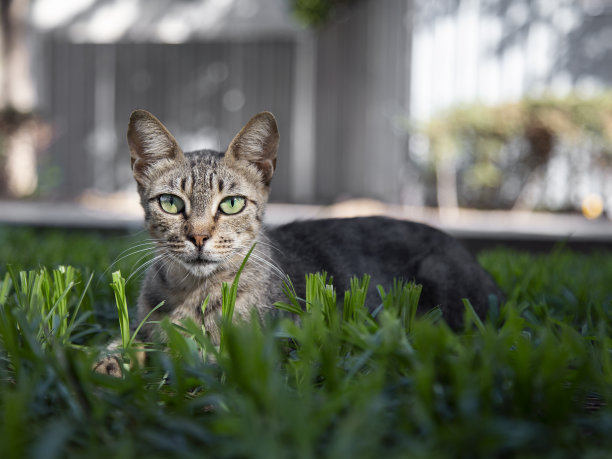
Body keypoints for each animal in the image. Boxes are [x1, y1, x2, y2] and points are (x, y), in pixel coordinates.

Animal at [94, 109, 502, 376]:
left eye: (231, 204)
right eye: (170, 203)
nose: (198, 236)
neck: (194, 292)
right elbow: (127, 340)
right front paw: (112, 360)